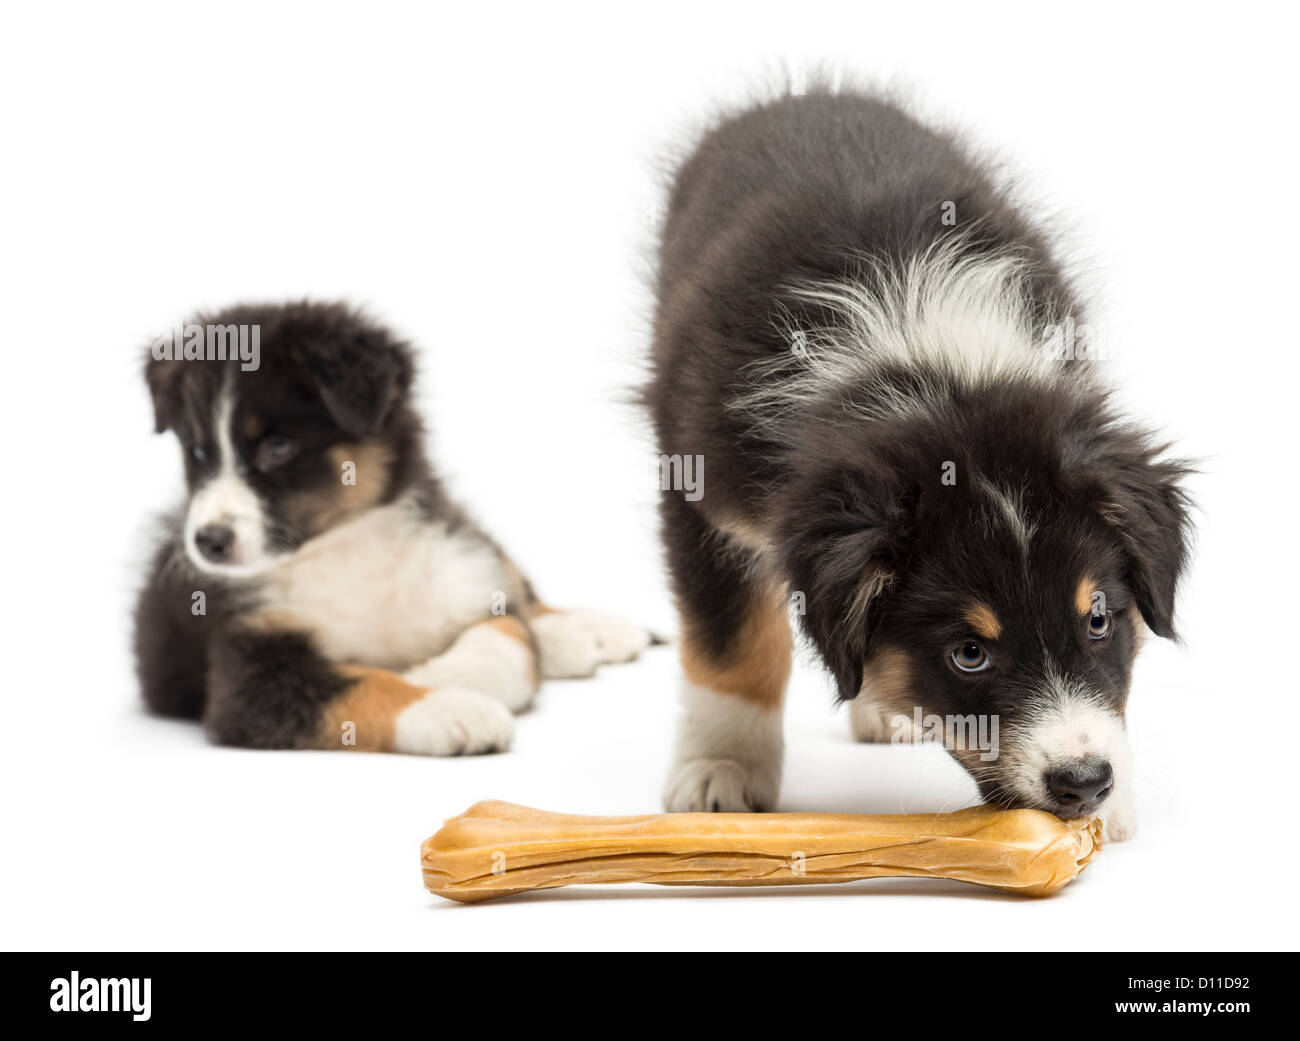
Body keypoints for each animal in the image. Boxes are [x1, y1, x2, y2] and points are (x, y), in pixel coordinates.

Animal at [137, 300, 650, 753]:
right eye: (197, 452)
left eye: (278, 447)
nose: (208, 542)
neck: (347, 545)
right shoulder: (247, 672)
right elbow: (363, 683)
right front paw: (450, 709)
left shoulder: (462, 574)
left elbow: (507, 639)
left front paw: (438, 676)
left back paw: (590, 630)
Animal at [644, 85, 1190, 842]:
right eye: (969, 652)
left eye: (1099, 621)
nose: (1085, 783)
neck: (929, 371)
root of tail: (810, 91)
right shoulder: (699, 489)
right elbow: (733, 646)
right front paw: (720, 769)